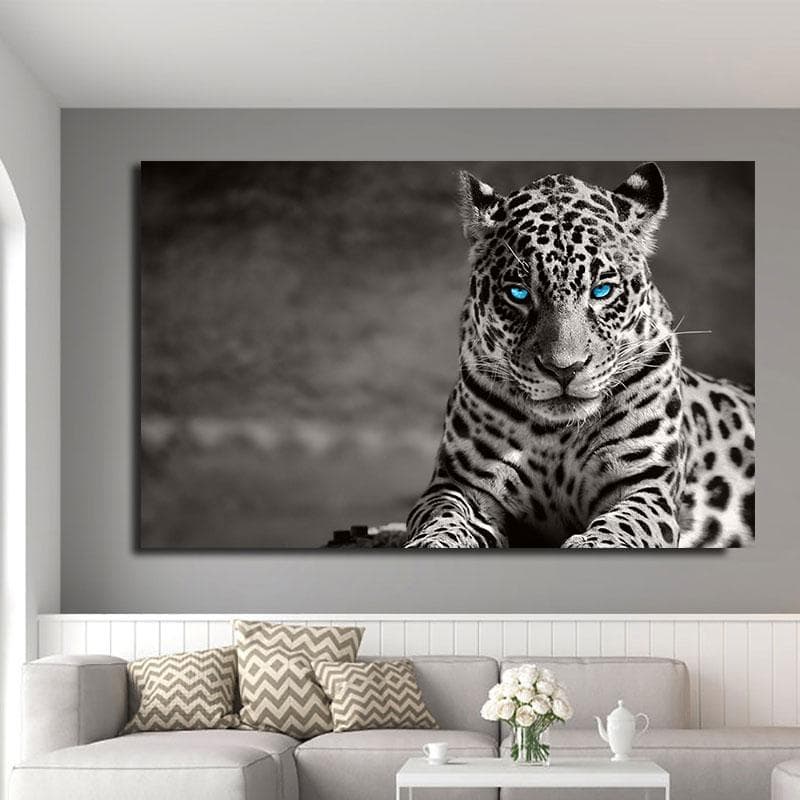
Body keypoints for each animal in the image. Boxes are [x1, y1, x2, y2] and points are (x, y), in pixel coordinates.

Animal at [400, 163, 755, 549]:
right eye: (518, 293)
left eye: (602, 290)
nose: (563, 369)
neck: (557, 435)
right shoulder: (459, 484)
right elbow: (443, 518)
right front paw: (433, 542)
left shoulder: (645, 486)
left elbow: (623, 525)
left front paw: (591, 543)